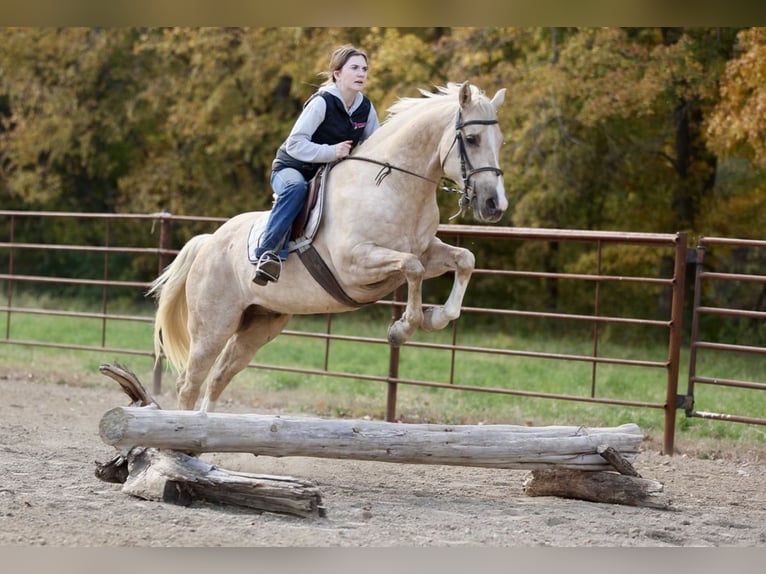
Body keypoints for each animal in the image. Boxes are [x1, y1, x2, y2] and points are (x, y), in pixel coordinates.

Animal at [148, 81, 508, 412]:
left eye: (500, 141)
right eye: (472, 139)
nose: (495, 205)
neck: (392, 185)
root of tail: (209, 243)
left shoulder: (426, 251)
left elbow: (464, 259)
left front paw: (435, 318)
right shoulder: (356, 264)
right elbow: (411, 267)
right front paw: (402, 329)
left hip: (260, 324)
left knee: (218, 377)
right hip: (213, 326)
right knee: (189, 385)